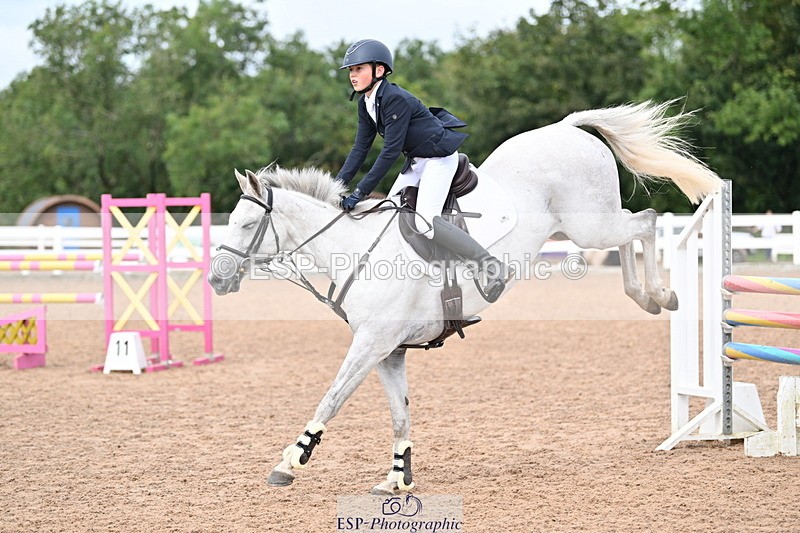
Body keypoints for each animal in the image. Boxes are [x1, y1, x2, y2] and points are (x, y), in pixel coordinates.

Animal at [208, 100, 722, 494]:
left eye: (247, 225)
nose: (215, 280)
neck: (353, 248)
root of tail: (566, 128)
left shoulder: (371, 343)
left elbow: (331, 399)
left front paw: (289, 462)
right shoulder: (390, 351)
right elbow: (399, 415)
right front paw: (398, 478)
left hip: (590, 224)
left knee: (645, 222)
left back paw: (659, 295)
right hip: (587, 226)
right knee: (634, 229)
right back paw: (645, 295)